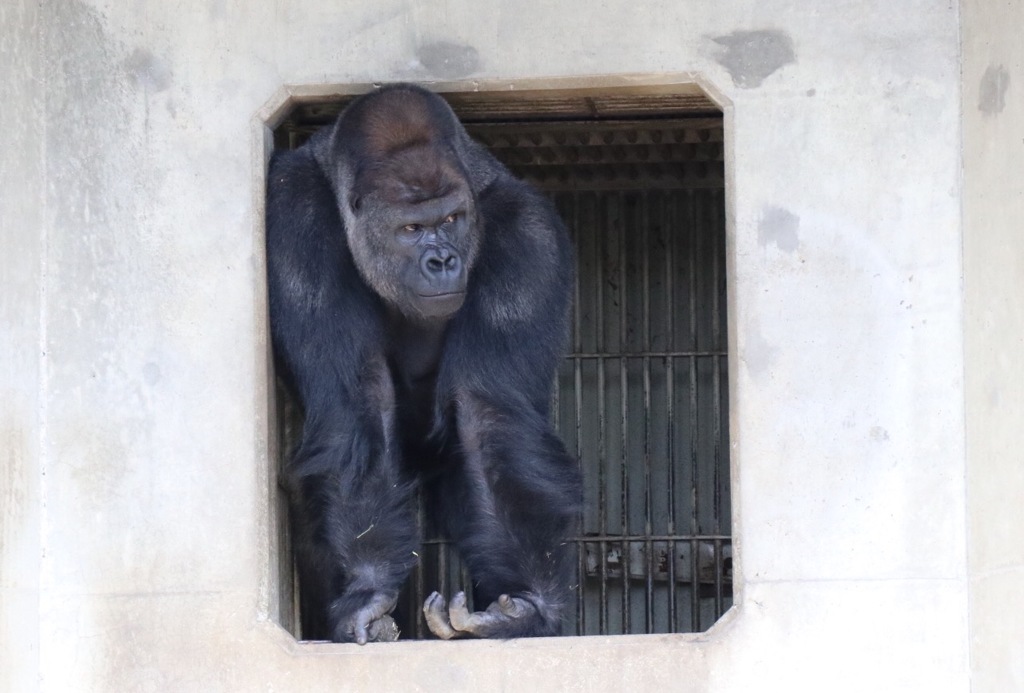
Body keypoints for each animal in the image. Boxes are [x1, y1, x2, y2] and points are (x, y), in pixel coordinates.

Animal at [264, 82, 581, 642]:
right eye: (411, 228)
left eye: (451, 219)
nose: (442, 261)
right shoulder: (293, 215)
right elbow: (359, 398)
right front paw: (369, 587)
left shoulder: (529, 234)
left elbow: (486, 413)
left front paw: (526, 604)